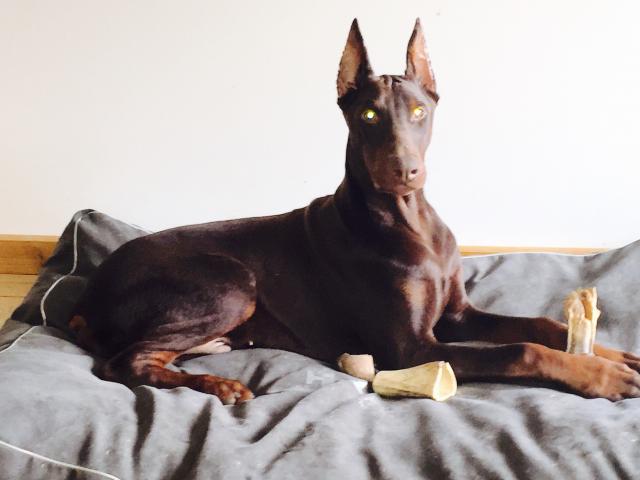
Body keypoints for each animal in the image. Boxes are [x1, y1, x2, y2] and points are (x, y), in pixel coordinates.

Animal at [70, 19, 640, 404]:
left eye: (419, 111)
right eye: (367, 115)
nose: (405, 171)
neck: (410, 220)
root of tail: (87, 296)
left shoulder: (457, 315)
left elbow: (538, 326)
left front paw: (610, 355)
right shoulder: (411, 348)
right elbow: (522, 349)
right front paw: (601, 375)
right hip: (229, 282)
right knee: (123, 362)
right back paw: (219, 385)